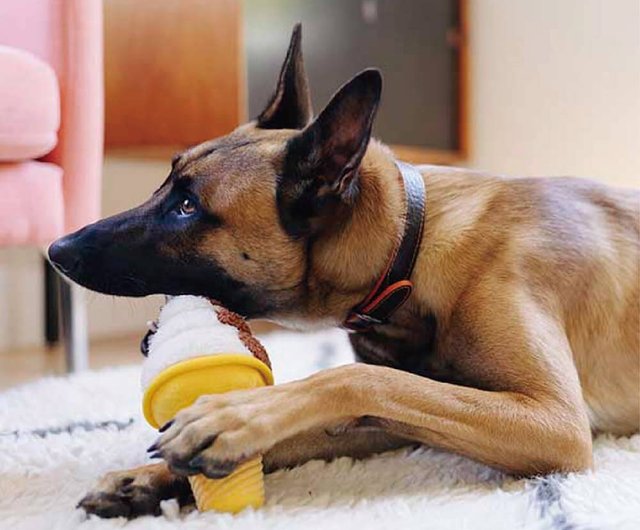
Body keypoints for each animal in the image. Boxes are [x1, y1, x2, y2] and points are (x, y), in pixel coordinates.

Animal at [50, 25, 640, 516]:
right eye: (166, 183)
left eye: (188, 206)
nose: (57, 249)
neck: (409, 247)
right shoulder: (405, 419)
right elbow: (345, 411)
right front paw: (152, 476)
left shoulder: (553, 422)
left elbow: (357, 378)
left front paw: (234, 415)